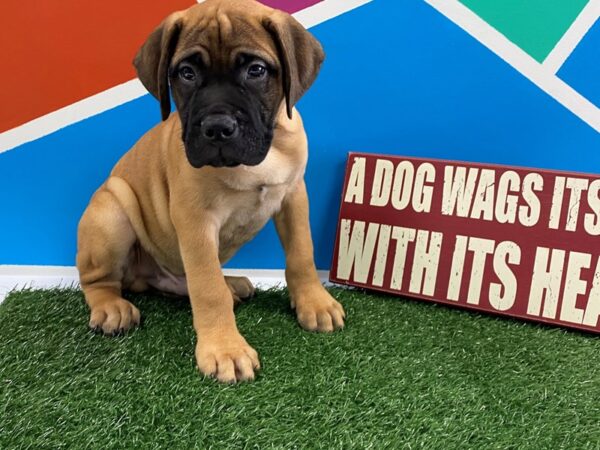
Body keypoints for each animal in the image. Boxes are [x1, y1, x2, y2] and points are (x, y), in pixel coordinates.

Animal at [77, 0, 344, 382]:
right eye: (187, 73)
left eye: (256, 70)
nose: (218, 127)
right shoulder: (195, 220)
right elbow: (207, 288)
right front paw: (224, 349)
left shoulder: (294, 196)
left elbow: (301, 254)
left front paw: (314, 301)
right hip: (112, 209)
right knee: (99, 280)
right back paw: (112, 307)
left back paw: (232, 284)